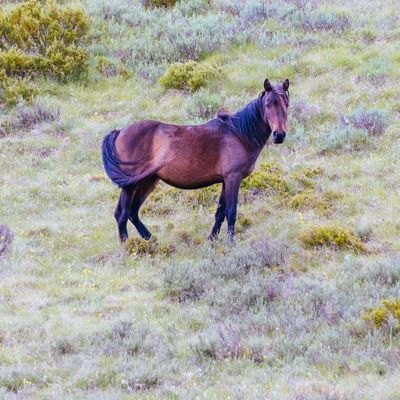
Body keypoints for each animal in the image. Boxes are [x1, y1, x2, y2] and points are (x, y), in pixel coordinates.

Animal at [102, 77, 290, 241]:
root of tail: (120, 132)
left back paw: (149, 239)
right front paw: (231, 242)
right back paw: (128, 246)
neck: (239, 134)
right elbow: (231, 212)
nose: (279, 135)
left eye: (286, 104)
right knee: (122, 214)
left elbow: (220, 212)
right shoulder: (233, 178)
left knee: (132, 212)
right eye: (268, 104)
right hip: (131, 185)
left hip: (148, 181)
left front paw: (212, 239)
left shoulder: (225, 180)